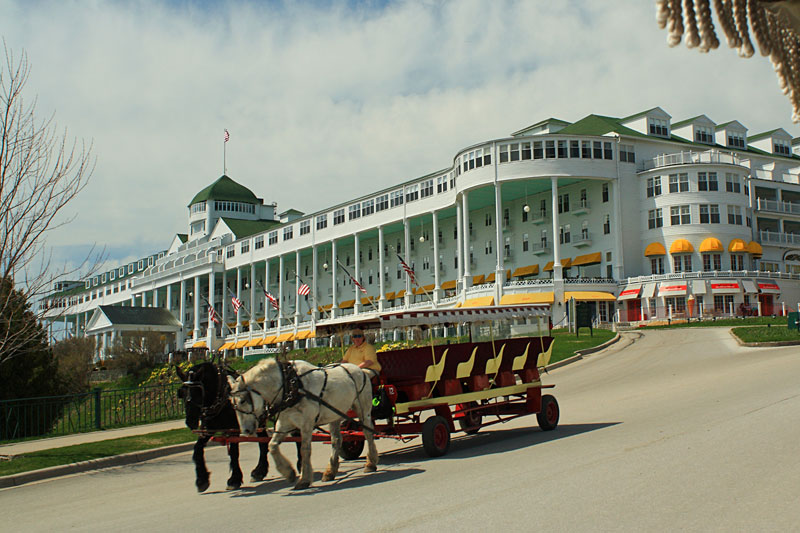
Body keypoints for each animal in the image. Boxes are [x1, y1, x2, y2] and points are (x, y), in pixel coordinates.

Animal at [175, 362, 268, 490]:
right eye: (182, 393)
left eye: (198, 393)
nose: (190, 421)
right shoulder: (209, 429)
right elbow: (197, 449)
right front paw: (202, 480)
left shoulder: (233, 428)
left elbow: (234, 452)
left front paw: (234, 480)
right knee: (264, 441)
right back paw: (260, 471)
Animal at [225, 358, 376, 490]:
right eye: (231, 404)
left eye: (243, 400)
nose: (246, 431)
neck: (291, 386)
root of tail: (361, 370)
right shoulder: (284, 423)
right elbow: (272, 446)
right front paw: (289, 473)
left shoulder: (307, 424)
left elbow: (304, 450)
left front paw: (304, 479)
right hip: (335, 414)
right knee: (337, 440)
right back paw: (330, 472)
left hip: (363, 410)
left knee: (368, 433)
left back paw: (371, 463)